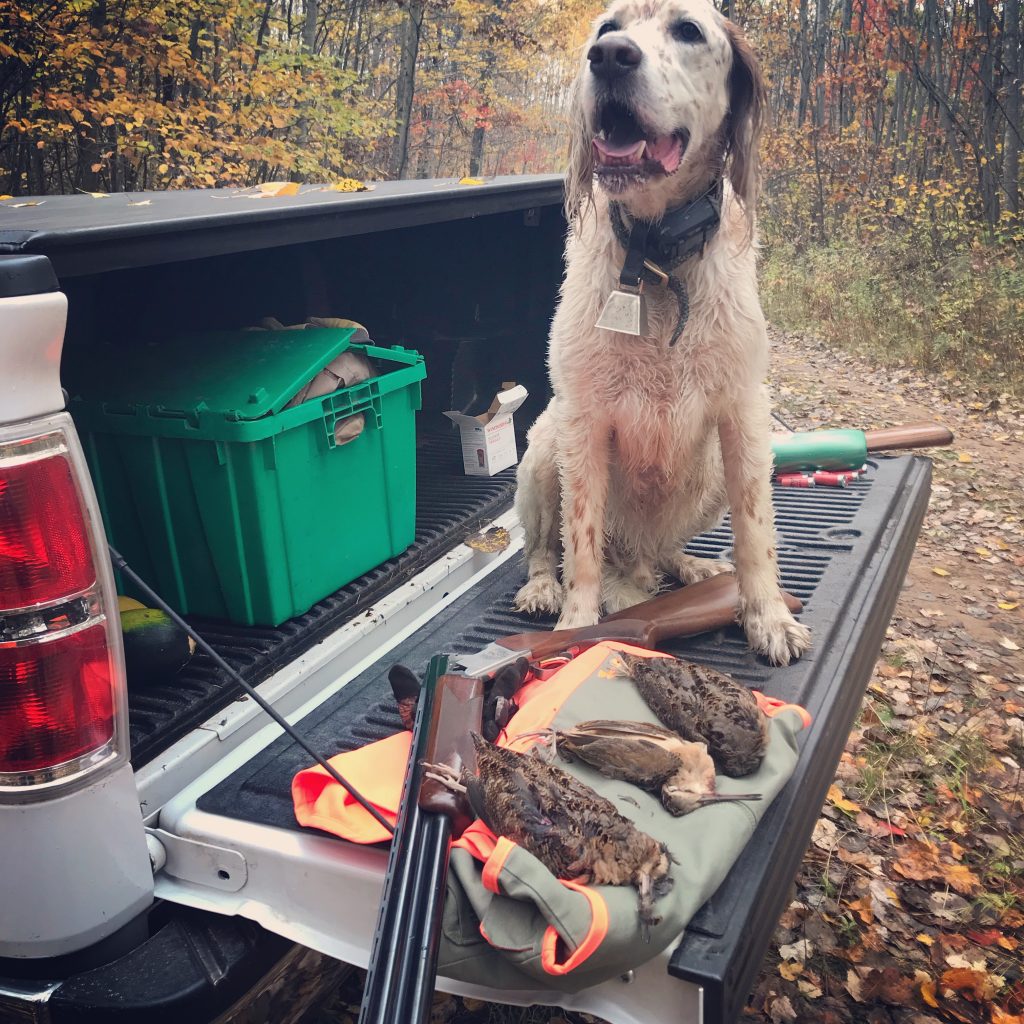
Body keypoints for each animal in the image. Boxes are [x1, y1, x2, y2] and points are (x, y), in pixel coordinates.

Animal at [516, 0, 811, 663]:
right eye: (606, 30)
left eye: (688, 31)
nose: (610, 57)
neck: (655, 261)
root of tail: (638, 560)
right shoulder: (582, 421)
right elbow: (580, 543)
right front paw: (576, 626)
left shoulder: (744, 418)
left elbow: (757, 536)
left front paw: (768, 615)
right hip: (543, 448)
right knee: (545, 549)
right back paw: (545, 587)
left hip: (713, 475)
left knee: (667, 551)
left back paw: (692, 569)